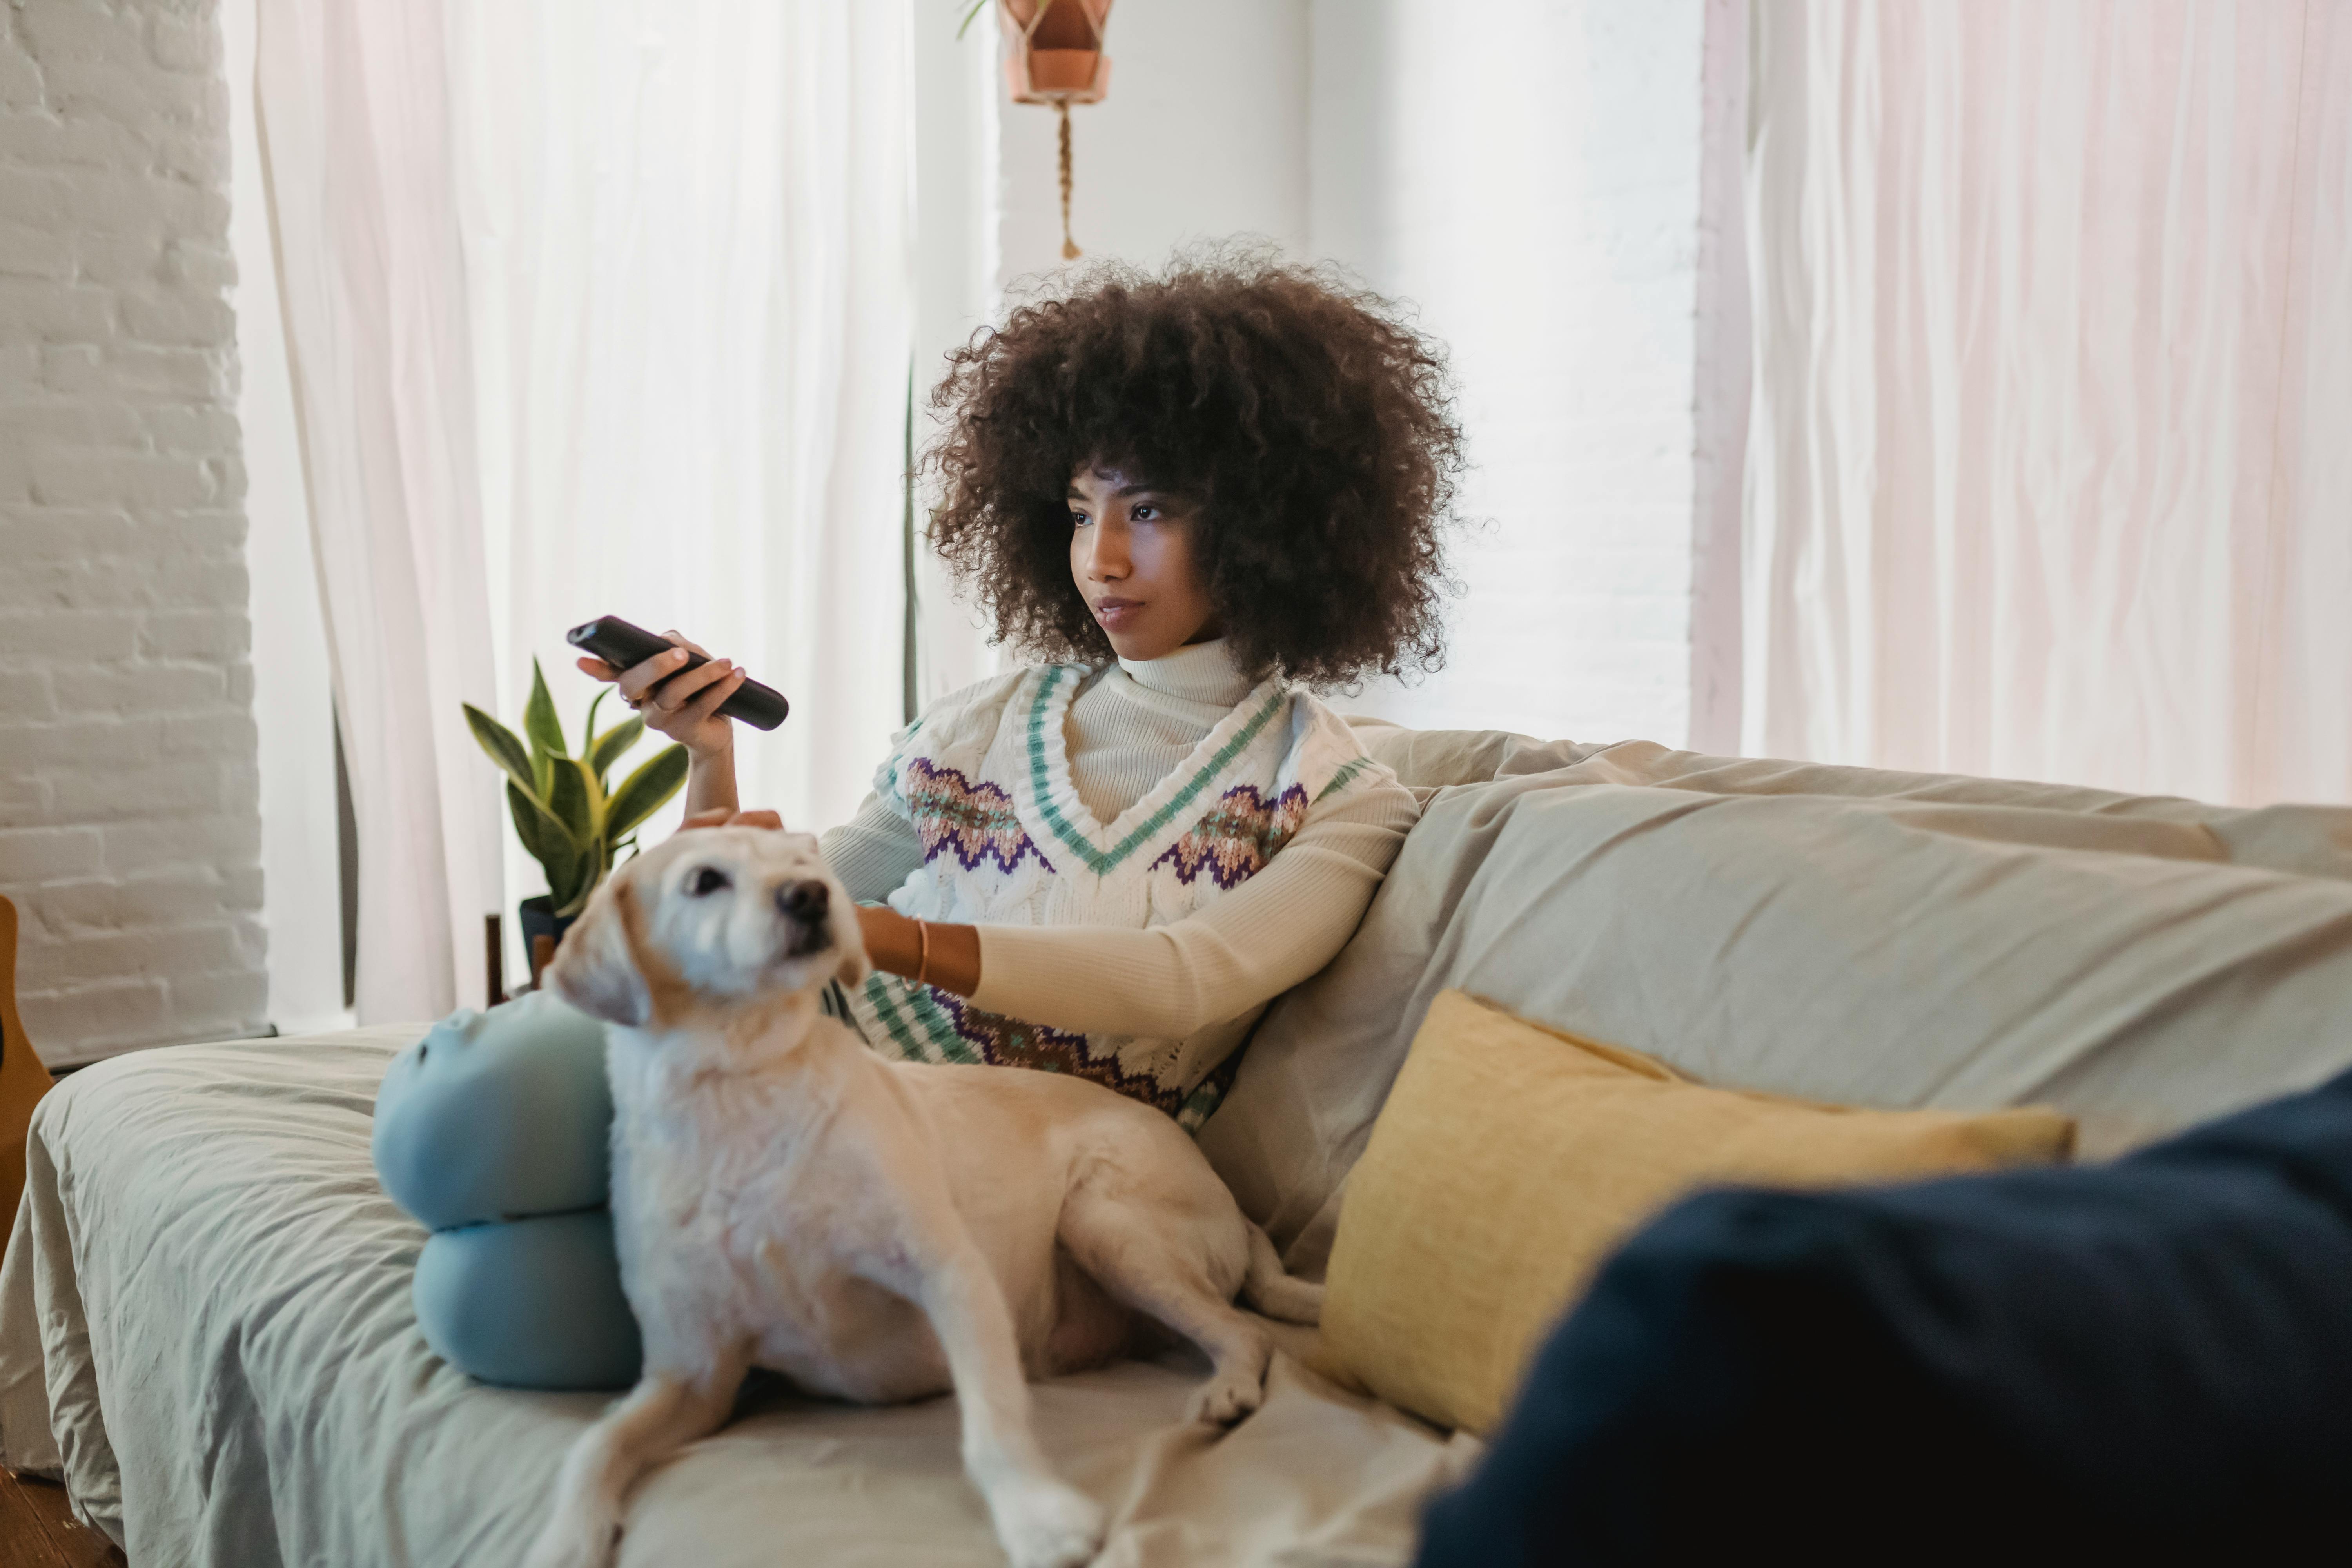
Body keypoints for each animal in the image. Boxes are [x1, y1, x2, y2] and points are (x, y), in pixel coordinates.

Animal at [524, 827, 1327, 1561]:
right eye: (704, 881)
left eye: (804, 863)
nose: (811, 895)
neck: (740, 1090)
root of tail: (1237, 1208)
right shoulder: (694, 1372)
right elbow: (595, 1446)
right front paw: (565, 1539)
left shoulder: (951, 1276)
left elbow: (993, 1422)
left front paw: (1037, 1518)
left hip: (1106, 1222)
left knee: (1246, 1332)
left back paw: (1228, 1388)